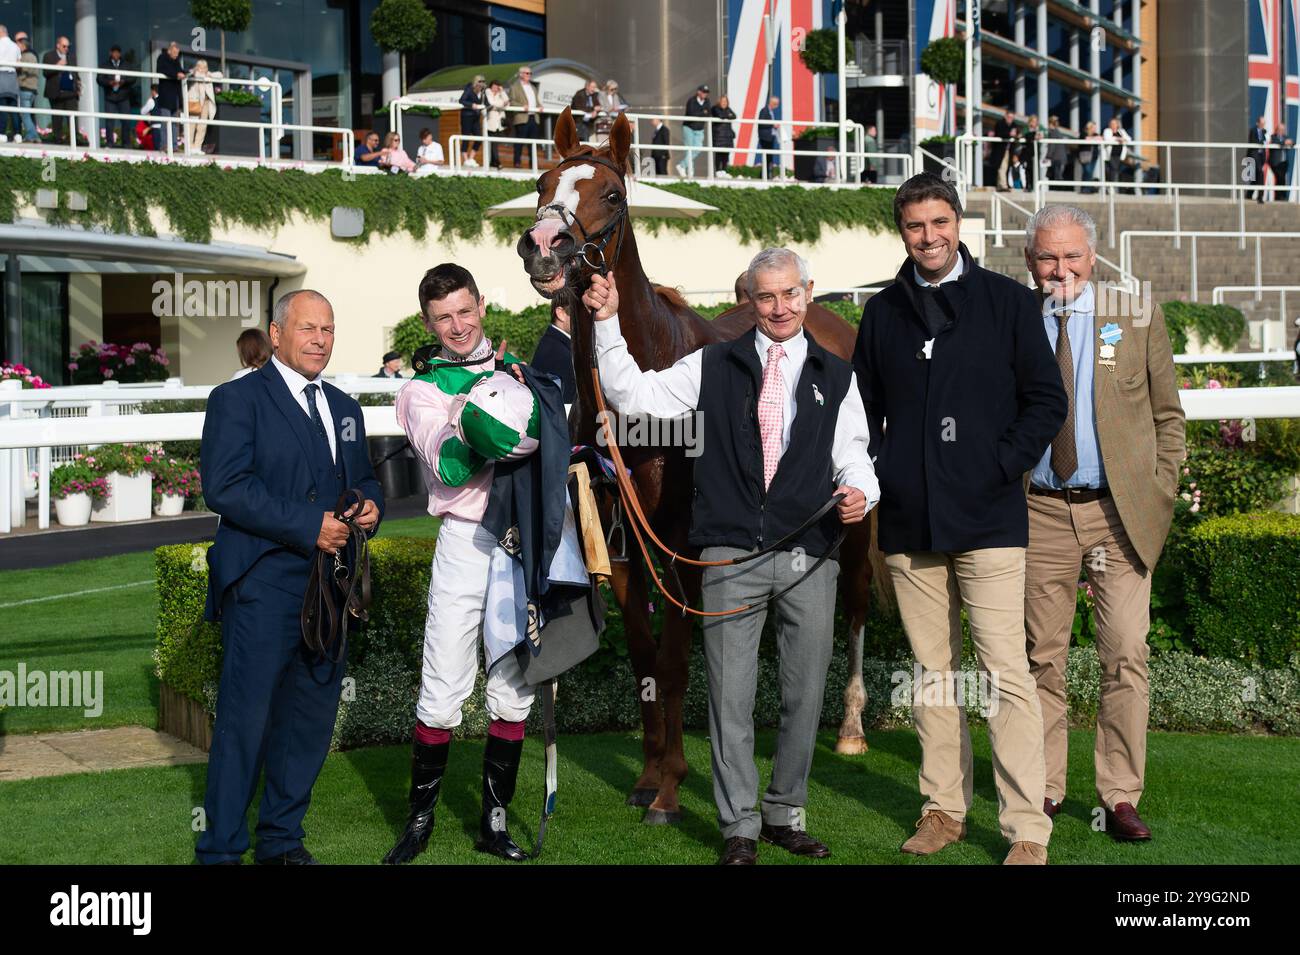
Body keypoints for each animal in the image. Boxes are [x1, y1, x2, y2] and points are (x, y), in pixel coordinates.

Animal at [517, 106, 894, 821]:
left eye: (613, 194)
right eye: (543, 182)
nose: (545, 244)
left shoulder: (685, 540)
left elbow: (672, 660)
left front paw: (669, 787)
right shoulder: (621, 537)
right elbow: (644, 656)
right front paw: (649, 773)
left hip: (853, 521)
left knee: (856, 604)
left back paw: (853, 727)